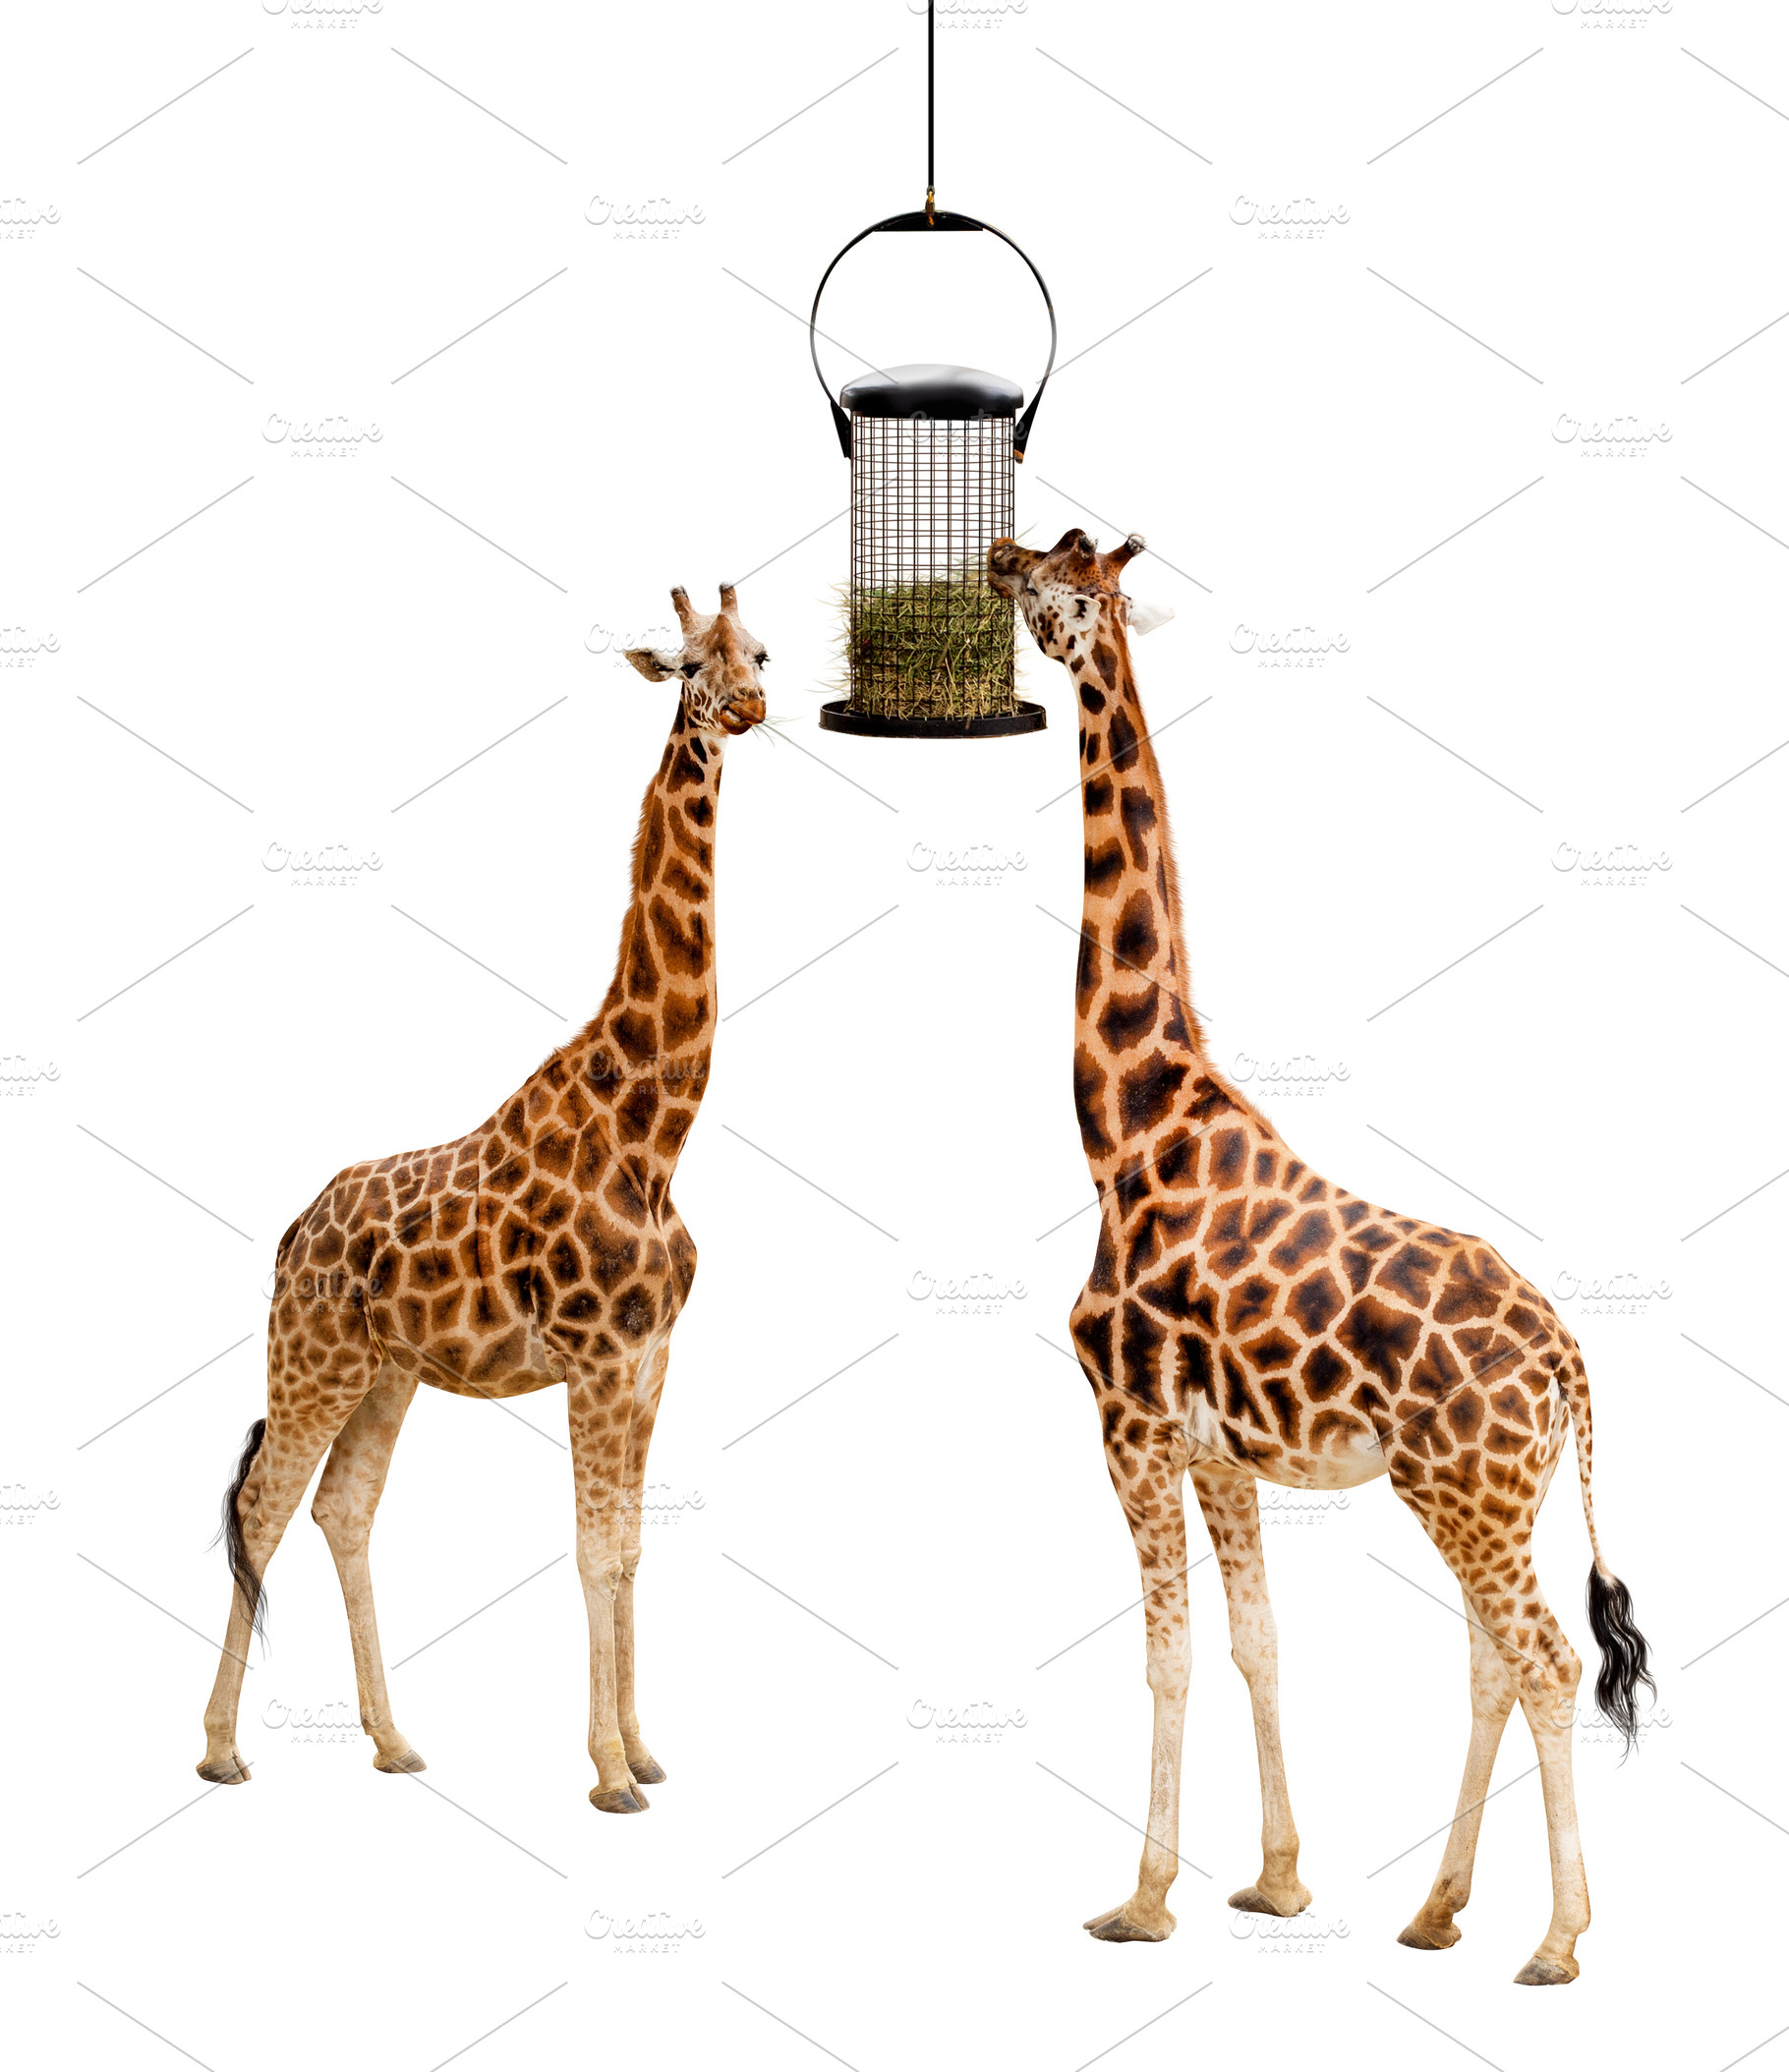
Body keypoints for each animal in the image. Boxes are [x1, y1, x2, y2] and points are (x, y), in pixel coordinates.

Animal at [197, 584, 768, 1814]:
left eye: (760, 651)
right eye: (688, 661)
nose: (746, 707)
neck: (655, 1131)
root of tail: (292, 1228)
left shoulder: (649, 1361)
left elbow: (630, 1546)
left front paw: (642, 1747)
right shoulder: (597, 1361)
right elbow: (592, 1548)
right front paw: (609, 1773)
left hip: (386, 1370)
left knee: (343, 1508)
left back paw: (393, 1739)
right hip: (311, 1354)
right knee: (264, 1503)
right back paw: (219, 1747)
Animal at [989, 530, 1653, 1985]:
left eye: (1062, 576)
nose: (996, 556)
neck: (1124, 1128)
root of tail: (1569, 1359)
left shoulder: (1126, 1426)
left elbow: (1168, 1657)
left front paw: (1140, 1902)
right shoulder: (1219, 1451)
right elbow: (1257, 1645)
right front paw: (1278, 1882)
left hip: (1464, 1491)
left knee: (1543, 1660)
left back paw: (1556, 1940)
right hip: (1485, 1493)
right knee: (1493, 1660)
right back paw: (1435, 1910)